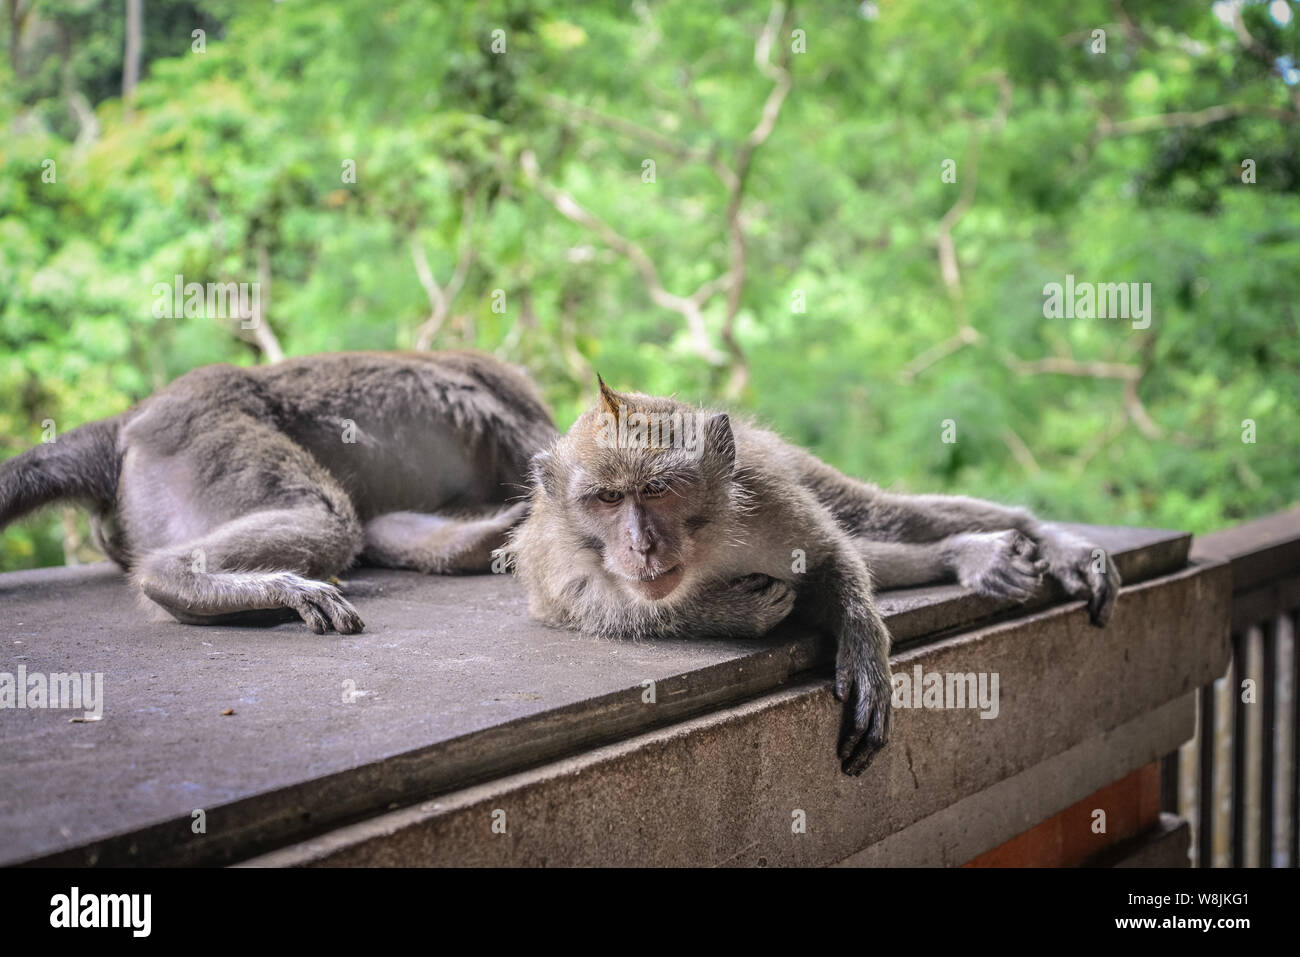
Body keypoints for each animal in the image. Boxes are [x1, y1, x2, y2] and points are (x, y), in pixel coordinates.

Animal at [504, 377, 1122, 776]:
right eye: (607, 498)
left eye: (660, 490)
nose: (641, 544)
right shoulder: (563, 575)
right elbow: (628, 613)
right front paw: (738, 612)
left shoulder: (768, 498)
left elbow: (829, 557)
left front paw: (865, 651)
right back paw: (967, 554)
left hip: (786, 462)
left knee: (882, 516)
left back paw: (1042, 540)